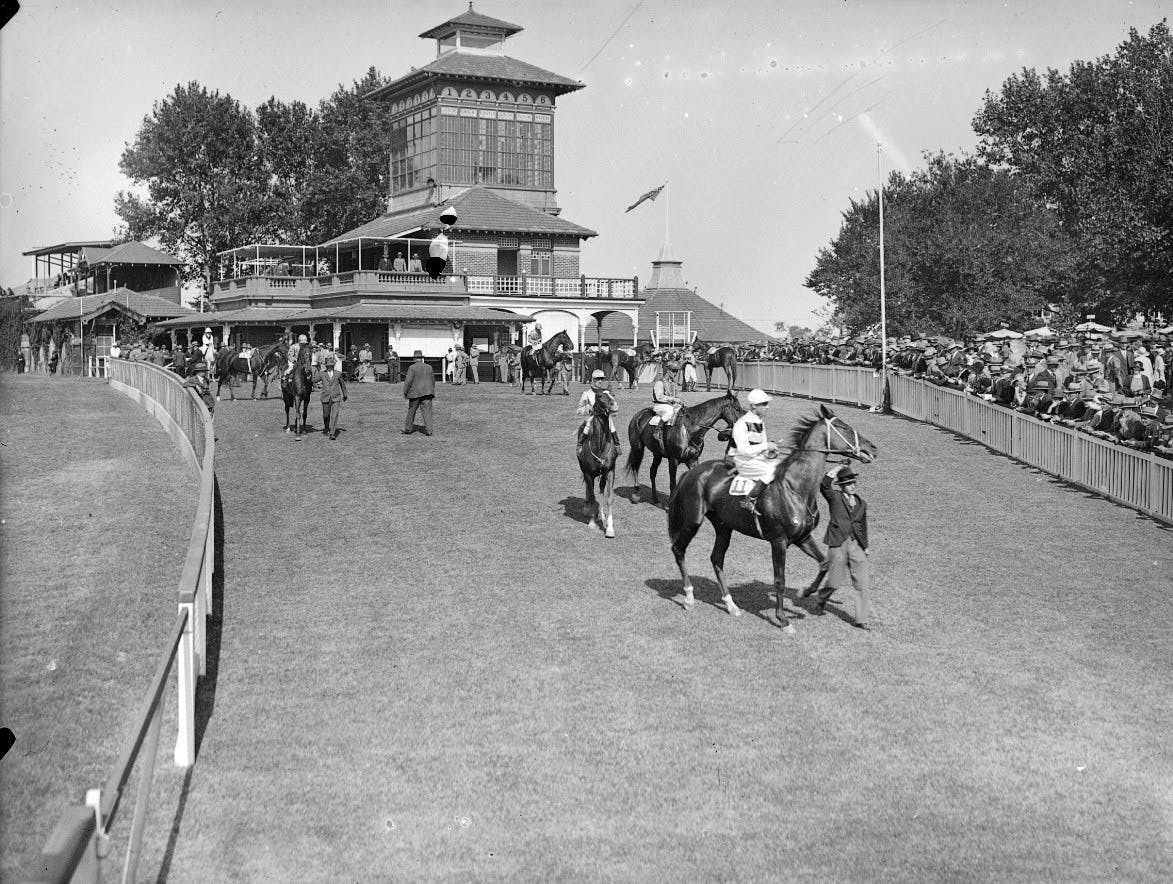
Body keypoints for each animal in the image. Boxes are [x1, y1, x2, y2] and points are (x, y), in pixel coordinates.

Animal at [579, 384, 624, 536]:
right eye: (600, 396)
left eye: (613, 394)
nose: (614, 405)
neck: (600, 445)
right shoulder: (588, 474)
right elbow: (592, 497)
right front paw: (592, 522)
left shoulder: (610, 472)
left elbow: (608, 498)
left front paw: (609, 528)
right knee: (590, 491)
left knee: (601, 491)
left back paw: (602, 515)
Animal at [666, 403, 877, 628]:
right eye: (843, 427)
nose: (872, 448)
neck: (795, 489)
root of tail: (693, 471)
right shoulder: (778, 541)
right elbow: (780, 580)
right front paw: (783, 619)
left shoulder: (803, 537)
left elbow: (825, 563)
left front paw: (806, 592)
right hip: (692, 520)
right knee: (678, 550)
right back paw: (689, 597)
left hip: (724, 527)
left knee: (716, 559)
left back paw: (731, 605)